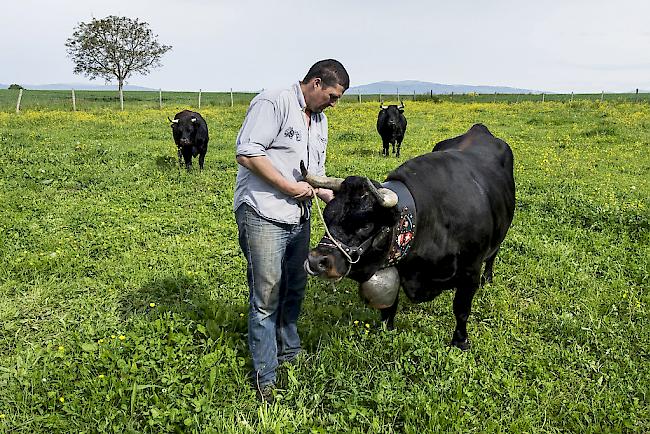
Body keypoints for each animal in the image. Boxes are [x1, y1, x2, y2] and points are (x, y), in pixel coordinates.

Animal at [302, 124, 512, 350]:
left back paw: (488, 279)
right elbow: (389, 306)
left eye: (366, 225)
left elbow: (461, 310)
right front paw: (387, 330)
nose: (316, 260)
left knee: (492, 256)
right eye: (327, 216)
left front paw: (460, 341)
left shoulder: (470, 271)